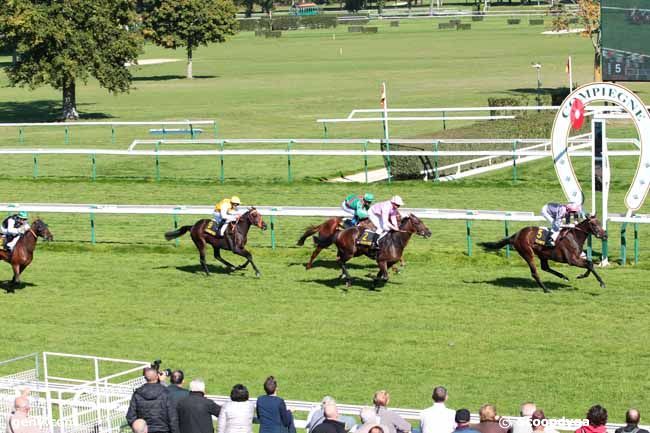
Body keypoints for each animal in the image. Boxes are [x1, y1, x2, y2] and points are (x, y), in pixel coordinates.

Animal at [476, 214, 608, 292]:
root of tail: (516, 235)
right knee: (535, 272)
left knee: (545, 267)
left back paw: (563, 276)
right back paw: (545, 289)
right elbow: (589, 264)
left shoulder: (577, 257)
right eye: (594, 224)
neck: (574, 236)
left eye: (600, 223)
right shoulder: (572, 260)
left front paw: (582, 275)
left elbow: (590, 263)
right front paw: (601, 283)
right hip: (527, 253)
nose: (605, 235)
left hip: (543, 254)